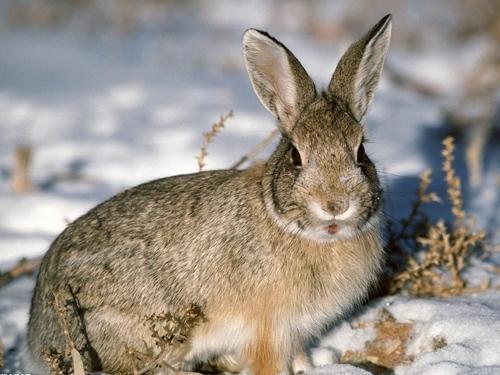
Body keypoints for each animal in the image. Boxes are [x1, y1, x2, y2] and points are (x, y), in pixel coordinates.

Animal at [27, 13, 392, 374]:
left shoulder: (296, 332)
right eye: (296, 156)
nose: (336, 204)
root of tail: (36, 335)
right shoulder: (268, 331)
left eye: (360, 153)